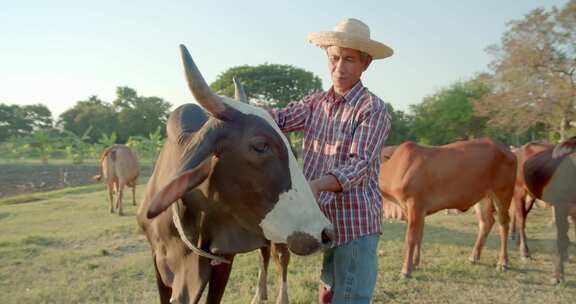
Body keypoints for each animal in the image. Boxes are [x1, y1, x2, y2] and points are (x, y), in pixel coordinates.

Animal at [380, 139, 516, 276]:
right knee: (486, 222)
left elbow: (411, 238)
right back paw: (474, 257)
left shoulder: (414, 205)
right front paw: (415, 263)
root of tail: (507, 150)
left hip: (502, 194)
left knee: (504, 225)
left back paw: (503, 262)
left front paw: (406, 270)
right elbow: (419, 236)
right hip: (483, 197)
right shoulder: (417, 210)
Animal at [520, 137, 576, 284]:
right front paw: (558, 275)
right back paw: (524, 253)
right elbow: (560, 239)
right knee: (520, 220)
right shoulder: (561, 205)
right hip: (519, 193)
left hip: (531, 197)